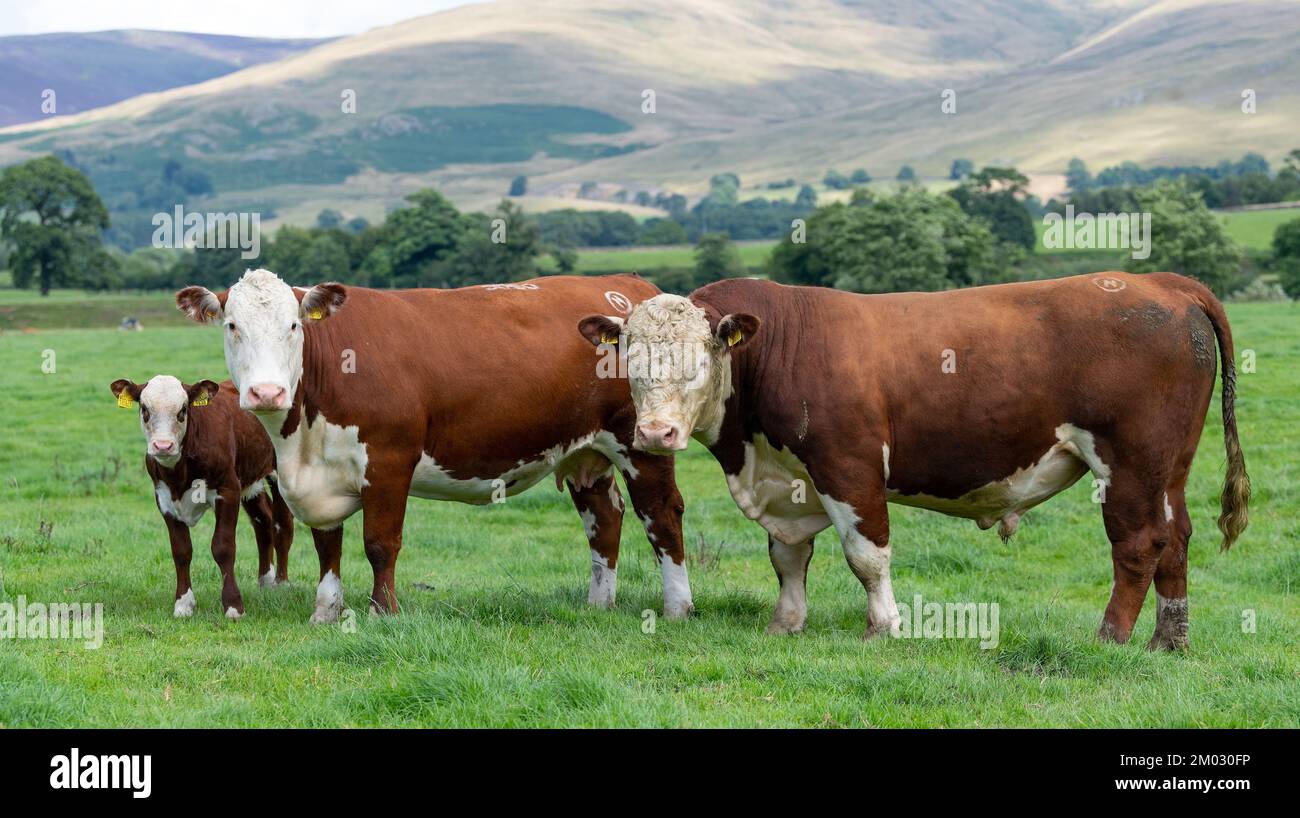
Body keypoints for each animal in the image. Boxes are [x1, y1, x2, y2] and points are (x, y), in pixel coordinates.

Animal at [109, 376, 295, 618]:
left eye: (183, 410)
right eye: (144, 409)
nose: (163, 446)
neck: (179, 474)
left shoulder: (228, 490)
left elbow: (223, 547)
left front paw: (233, 606)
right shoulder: (164, 499)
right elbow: (181, 550)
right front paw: (183, 604)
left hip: (280, 473)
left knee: (282, 524)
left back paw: (282, 583)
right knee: (262, 521)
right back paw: (265, 580)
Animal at [174, 270, 691, 623]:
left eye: (294, 327)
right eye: (232, 325)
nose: (266, 393)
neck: (300, 437)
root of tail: (626, 285)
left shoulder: (388, 461)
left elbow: (380, 543)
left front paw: (382, 611)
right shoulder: (318, 478)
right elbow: (327, 545)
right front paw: (326, 610)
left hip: (642, 441)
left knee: (661, 514)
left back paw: (677, 607)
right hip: (588, 451)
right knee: (604, 519)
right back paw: (598, 605)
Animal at [579, 271, 1249, 650]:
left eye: (698, 362)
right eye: (629, 361)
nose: (656, 432)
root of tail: (1163, 282)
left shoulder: (849, 466)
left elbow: (866, 556)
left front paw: (885, 628)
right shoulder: (788, 481)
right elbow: (788, 558)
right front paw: (786, 624)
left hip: (1129, 460)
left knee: (1138, 543)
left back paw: (1110, 637)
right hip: (1170, 465)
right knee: (1176, 539)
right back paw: (1169, 640)